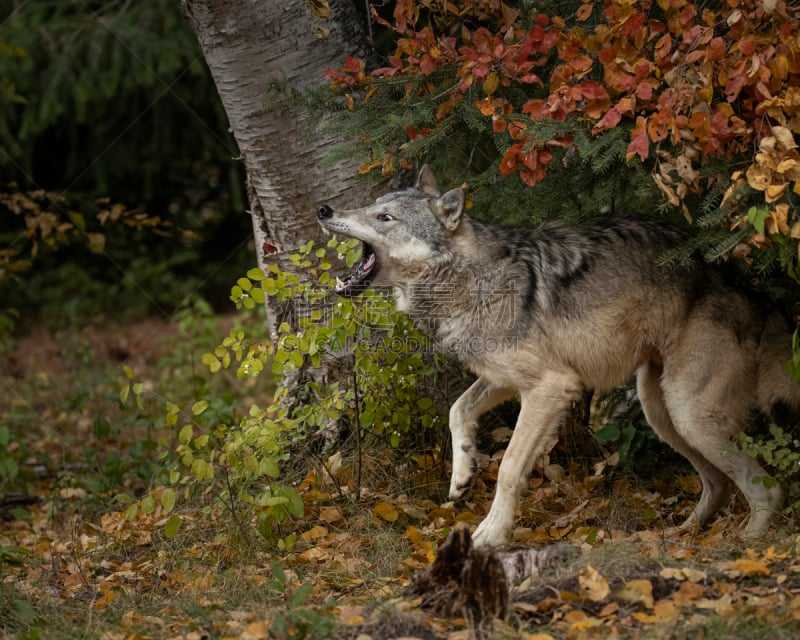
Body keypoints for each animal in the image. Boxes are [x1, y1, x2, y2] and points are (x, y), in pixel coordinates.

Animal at [318, 165, 800, 544]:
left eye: (385, 217)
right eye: (373, 205)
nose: (325, 211)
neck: (472, 279)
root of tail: (742, 280)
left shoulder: (551, 386)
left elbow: (510, 466)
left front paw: (491, 534)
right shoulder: (505, 379)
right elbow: (457, 410)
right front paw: (462, 473)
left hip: (689, 414)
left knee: (766, 487)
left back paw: (747, 544)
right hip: (660, 411)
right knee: (718, 484)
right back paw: (682, 534)